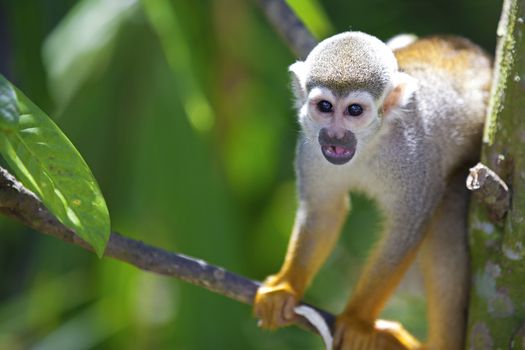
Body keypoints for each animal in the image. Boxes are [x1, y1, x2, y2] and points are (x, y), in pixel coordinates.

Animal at [254, 30, 492, 350]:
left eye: (354, 110)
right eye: (325, 107)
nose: (335, 136)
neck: (369, 145)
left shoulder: (412, 157)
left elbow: (405, 229)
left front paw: (357, 321)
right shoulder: (309, 147)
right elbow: (323, 212)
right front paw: (285, 288)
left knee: (445, 219)